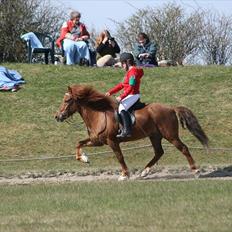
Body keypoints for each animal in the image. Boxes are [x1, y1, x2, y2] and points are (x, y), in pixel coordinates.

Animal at [54, 84, 208, 180]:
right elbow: (79, 143)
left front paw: (124, 175)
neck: (98, 114)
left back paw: (196, 171)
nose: (57, 116)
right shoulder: (97, 141)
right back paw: (144, 172)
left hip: (170, 135)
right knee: (159, 152)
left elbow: (120, 157)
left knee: (183, 148)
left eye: (67, 100)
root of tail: (171, 108)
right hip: (155, 136)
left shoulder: (112, 141)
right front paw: (84, 158)